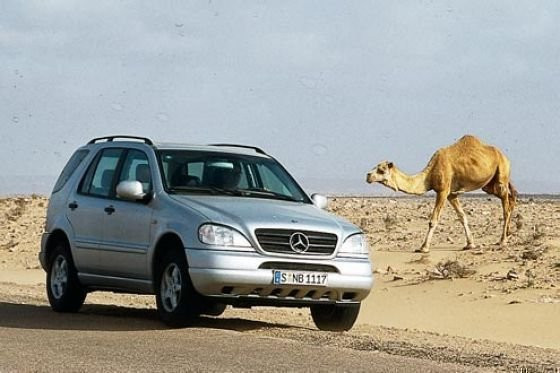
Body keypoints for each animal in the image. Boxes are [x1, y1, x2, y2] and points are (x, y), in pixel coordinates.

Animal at [366, 134, 520, 253]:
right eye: (375, 167)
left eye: (381, 170)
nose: (368, 175)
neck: (430, 174)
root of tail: (505, 157)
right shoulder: (452, 194)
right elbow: (462, 217)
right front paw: (470, 244)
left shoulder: (442, 191)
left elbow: (433, 220)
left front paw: (423, 247)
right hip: (488, 185)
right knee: (511, 198)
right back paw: (508, 234)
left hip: (501, 174)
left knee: (506, 207)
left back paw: (502, 241)